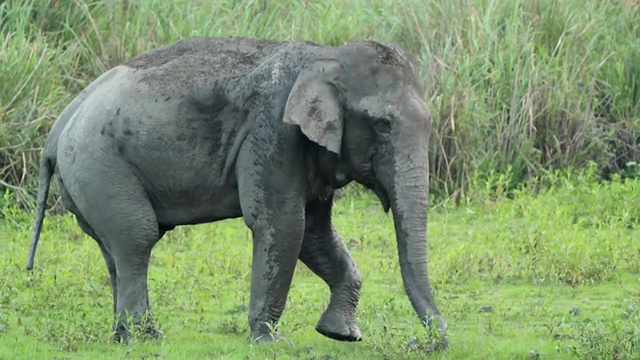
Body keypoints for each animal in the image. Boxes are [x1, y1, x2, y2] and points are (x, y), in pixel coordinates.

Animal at [26, 36, 450, 348]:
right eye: (382, 124)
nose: (435, 343)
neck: (325, 56)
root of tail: (63, 120)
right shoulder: (273, 132)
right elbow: (284, 223)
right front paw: (269, 343)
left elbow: (314, 233)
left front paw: (341, 335)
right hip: (99, 164)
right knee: (137, 237)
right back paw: (145, 338)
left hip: (87, 177)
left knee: (113, 248)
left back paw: (122, 337)